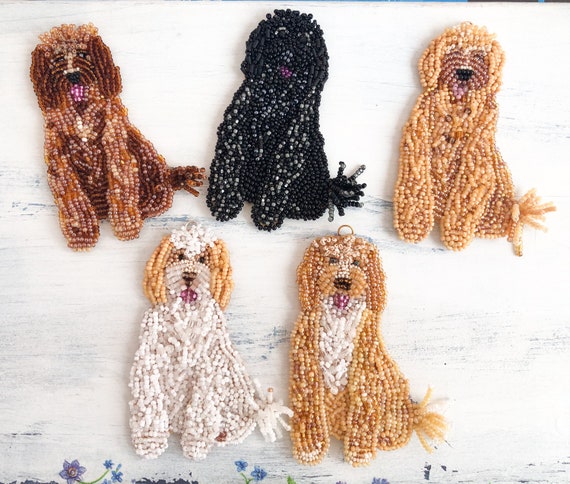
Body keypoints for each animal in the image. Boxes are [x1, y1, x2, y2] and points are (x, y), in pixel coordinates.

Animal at [30, 24, 204, 250]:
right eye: (58, 59)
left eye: (84, 55)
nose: (73, 76)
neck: (80, 109)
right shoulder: (59, 162)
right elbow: (73, 200)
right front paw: (82, 234)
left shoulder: (116, 147)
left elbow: (121, 186)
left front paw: (126, 227)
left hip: (148, 159)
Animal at [129, 223, 291, 460]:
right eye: (179, 256)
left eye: (204, 259)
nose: (189, 275)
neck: (186, 309)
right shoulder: (149, 356)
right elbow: (150, 400)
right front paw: (149, 441)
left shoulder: (208, 364)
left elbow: (202, 407)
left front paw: (196, 444)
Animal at [207, 10, 365, 231]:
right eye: (281, 33)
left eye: (305, 39)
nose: (293, 48)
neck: (278, 96)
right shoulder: (236, 116)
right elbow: (228, 160)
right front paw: (224, 204)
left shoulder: (299, 128)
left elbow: (279, 173)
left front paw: (266, 216)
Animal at [289, 231, 445, 466]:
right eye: (332, 259)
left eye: (356, 262)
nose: (343, 281)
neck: (339, 318)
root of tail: (414, 413)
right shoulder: (306, 372)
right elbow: (309, 411)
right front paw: (310, 449)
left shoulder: (365, 376)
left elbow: (363, 414)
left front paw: (360, 453)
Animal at [393, 22, 554, 255]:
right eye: (453, 52)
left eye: (479, 56)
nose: (464, 73)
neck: (457, 105)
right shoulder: (416, 142)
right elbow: (415, 182)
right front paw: (412, 224)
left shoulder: (479, 151)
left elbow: (466, 196)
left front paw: (455, 235)